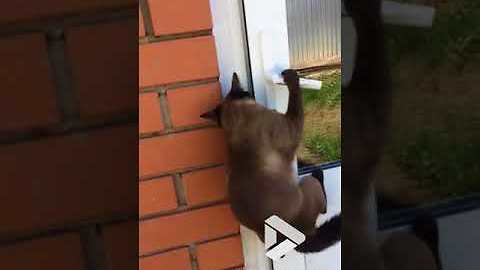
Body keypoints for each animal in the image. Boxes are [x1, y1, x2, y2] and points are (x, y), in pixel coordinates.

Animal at [200, 70, 342, 252]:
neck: (239, 120)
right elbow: (295, 96)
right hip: (307, 183)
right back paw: (318, 172)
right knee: (322, 203)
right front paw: (290, 76)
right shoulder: (291, 125)